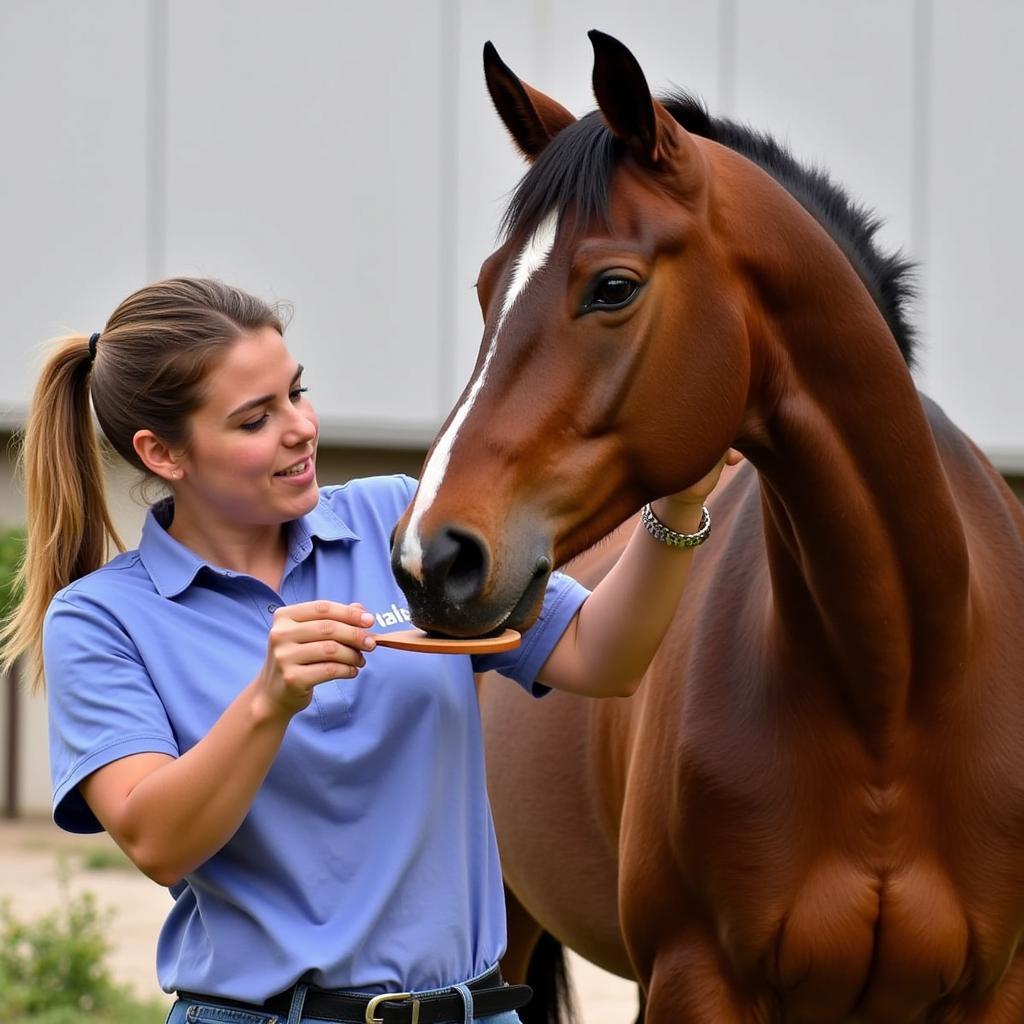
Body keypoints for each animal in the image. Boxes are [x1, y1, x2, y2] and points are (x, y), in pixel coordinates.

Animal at [387, 32, 1024, 1024]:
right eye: (489, 288)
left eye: (613, 287)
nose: (431, 556)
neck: (896, 686)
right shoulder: (696, 977)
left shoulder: (993, 989)